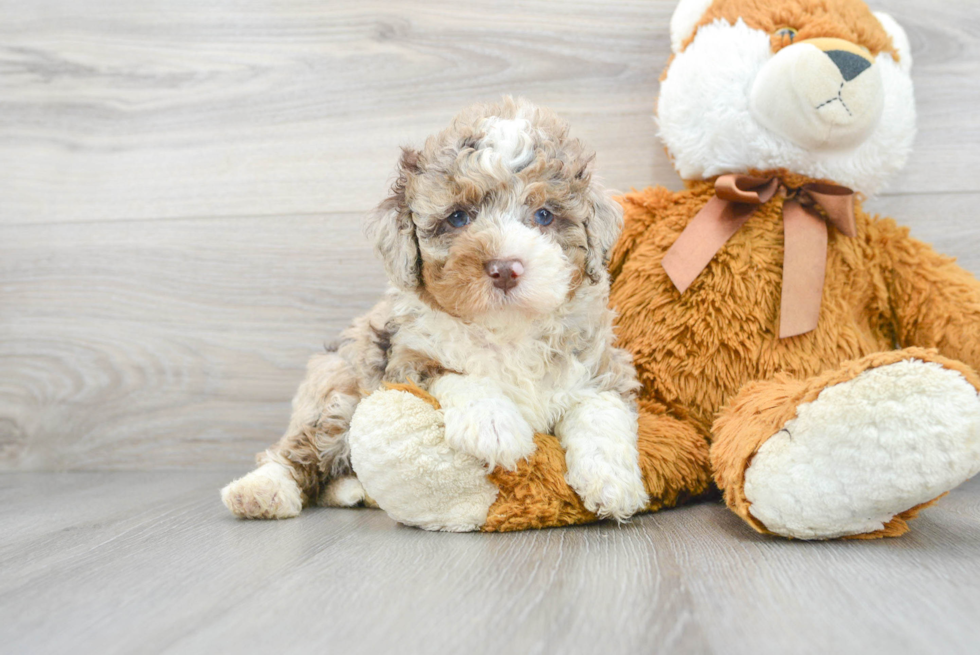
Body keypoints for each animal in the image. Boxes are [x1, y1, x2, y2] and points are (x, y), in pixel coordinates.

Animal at [223, 97, 652, 524]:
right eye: (458, 217)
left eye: (544, 214)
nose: (505, 268)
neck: (507, 330)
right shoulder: (404, 360)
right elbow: (455, 374)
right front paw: (495, 424)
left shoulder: (602, 366)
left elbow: (600, 408)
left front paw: (613, 482)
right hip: (340, 394)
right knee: (301, 450)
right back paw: (261, 490)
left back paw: (352, 491)